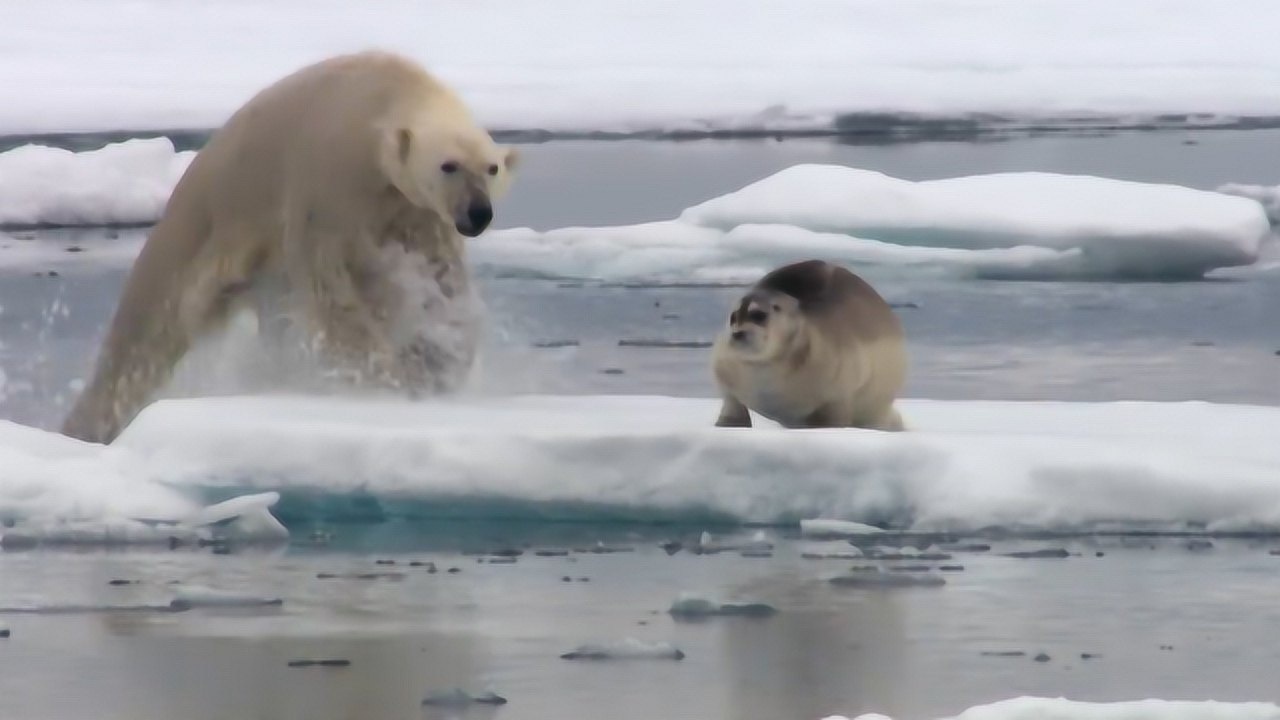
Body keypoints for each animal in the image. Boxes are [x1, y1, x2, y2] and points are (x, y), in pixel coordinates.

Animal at [60, 50, 519, 440]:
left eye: (491, 167)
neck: (384, 92)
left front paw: (438, 362)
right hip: (199, 225)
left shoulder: (416, 212)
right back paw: (87, 424)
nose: (478, 213)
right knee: (148, 326)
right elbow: (330, 283)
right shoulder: (329, 181)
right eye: (448, 166)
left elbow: (442, 280)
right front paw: (382, 374)